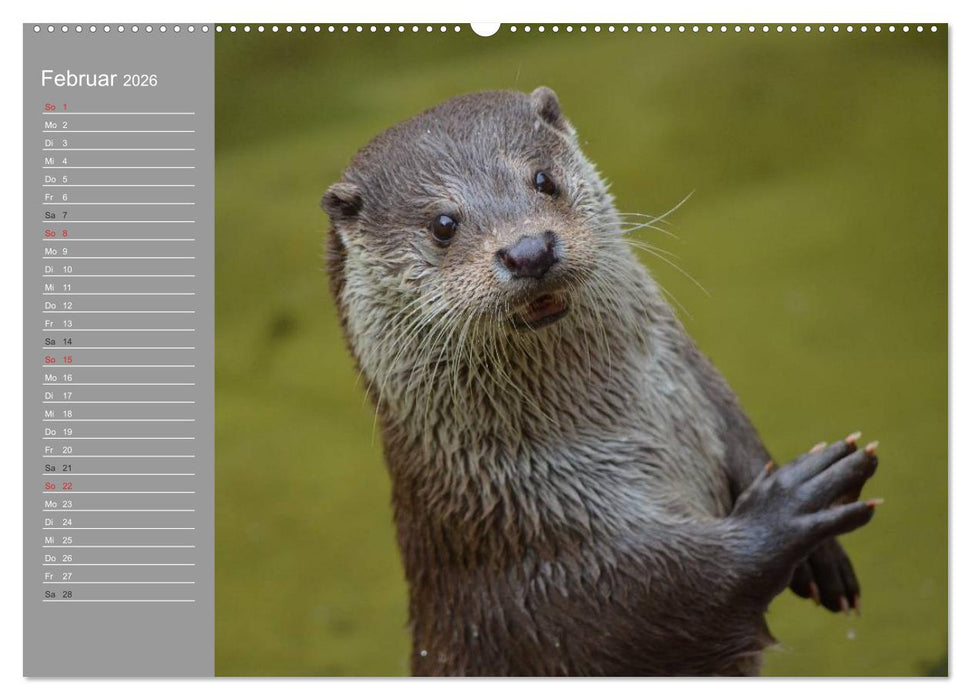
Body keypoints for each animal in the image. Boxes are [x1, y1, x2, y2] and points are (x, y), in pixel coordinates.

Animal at [320, 87, 880, 676]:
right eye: (443, 224)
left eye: (543, 180)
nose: (528, 250)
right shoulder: (550, 572)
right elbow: (668, 598)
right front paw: (792, 507)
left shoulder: (701, 387)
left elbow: (742, 435)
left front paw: (824, 557)